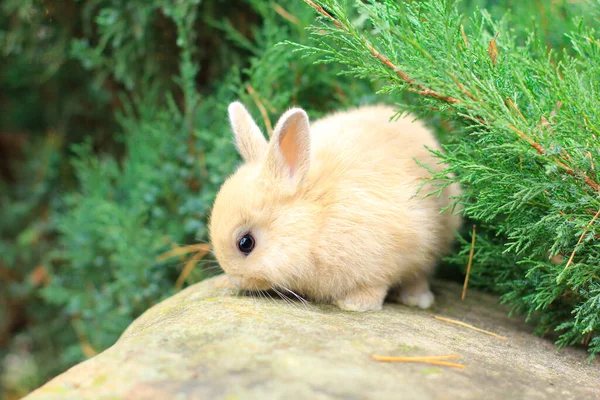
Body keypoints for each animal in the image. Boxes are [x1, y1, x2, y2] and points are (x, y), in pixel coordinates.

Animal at [209, 101, 462, 312]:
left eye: (246, 243)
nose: (236, 279)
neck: (316, 222)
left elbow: (375, 285)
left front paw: (355, 304)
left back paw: (418, 300)